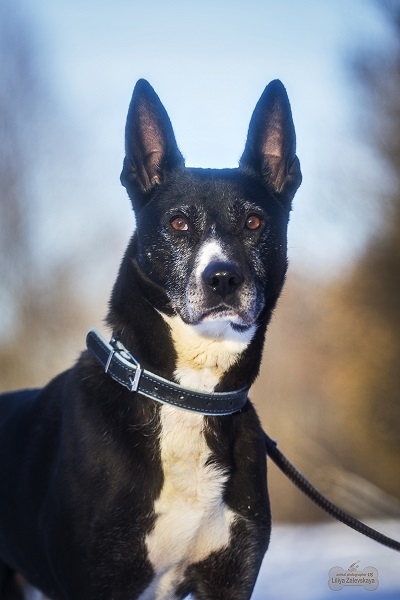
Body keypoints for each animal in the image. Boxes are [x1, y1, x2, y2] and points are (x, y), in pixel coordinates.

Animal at [0, 79, 301, 599]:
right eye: (178, 223)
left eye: (254, 223)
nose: (223, 279)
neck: (187, 396)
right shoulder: (98, 580)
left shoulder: (230, 578)